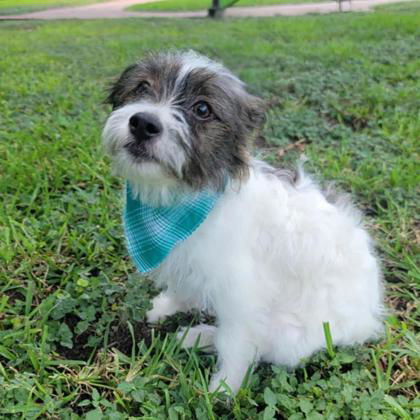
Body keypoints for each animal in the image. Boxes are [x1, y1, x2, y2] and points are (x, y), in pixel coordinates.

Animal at [101, 50, 384, 392]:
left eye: (202, 109)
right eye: (142, 86)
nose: (143, 123)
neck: (186, 201)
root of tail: (368, 319)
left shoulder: (243, 295)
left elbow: (237, 344)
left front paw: (223, 388)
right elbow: (184, 285)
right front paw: (168, 306)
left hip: (292, 334)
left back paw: (202, 337)